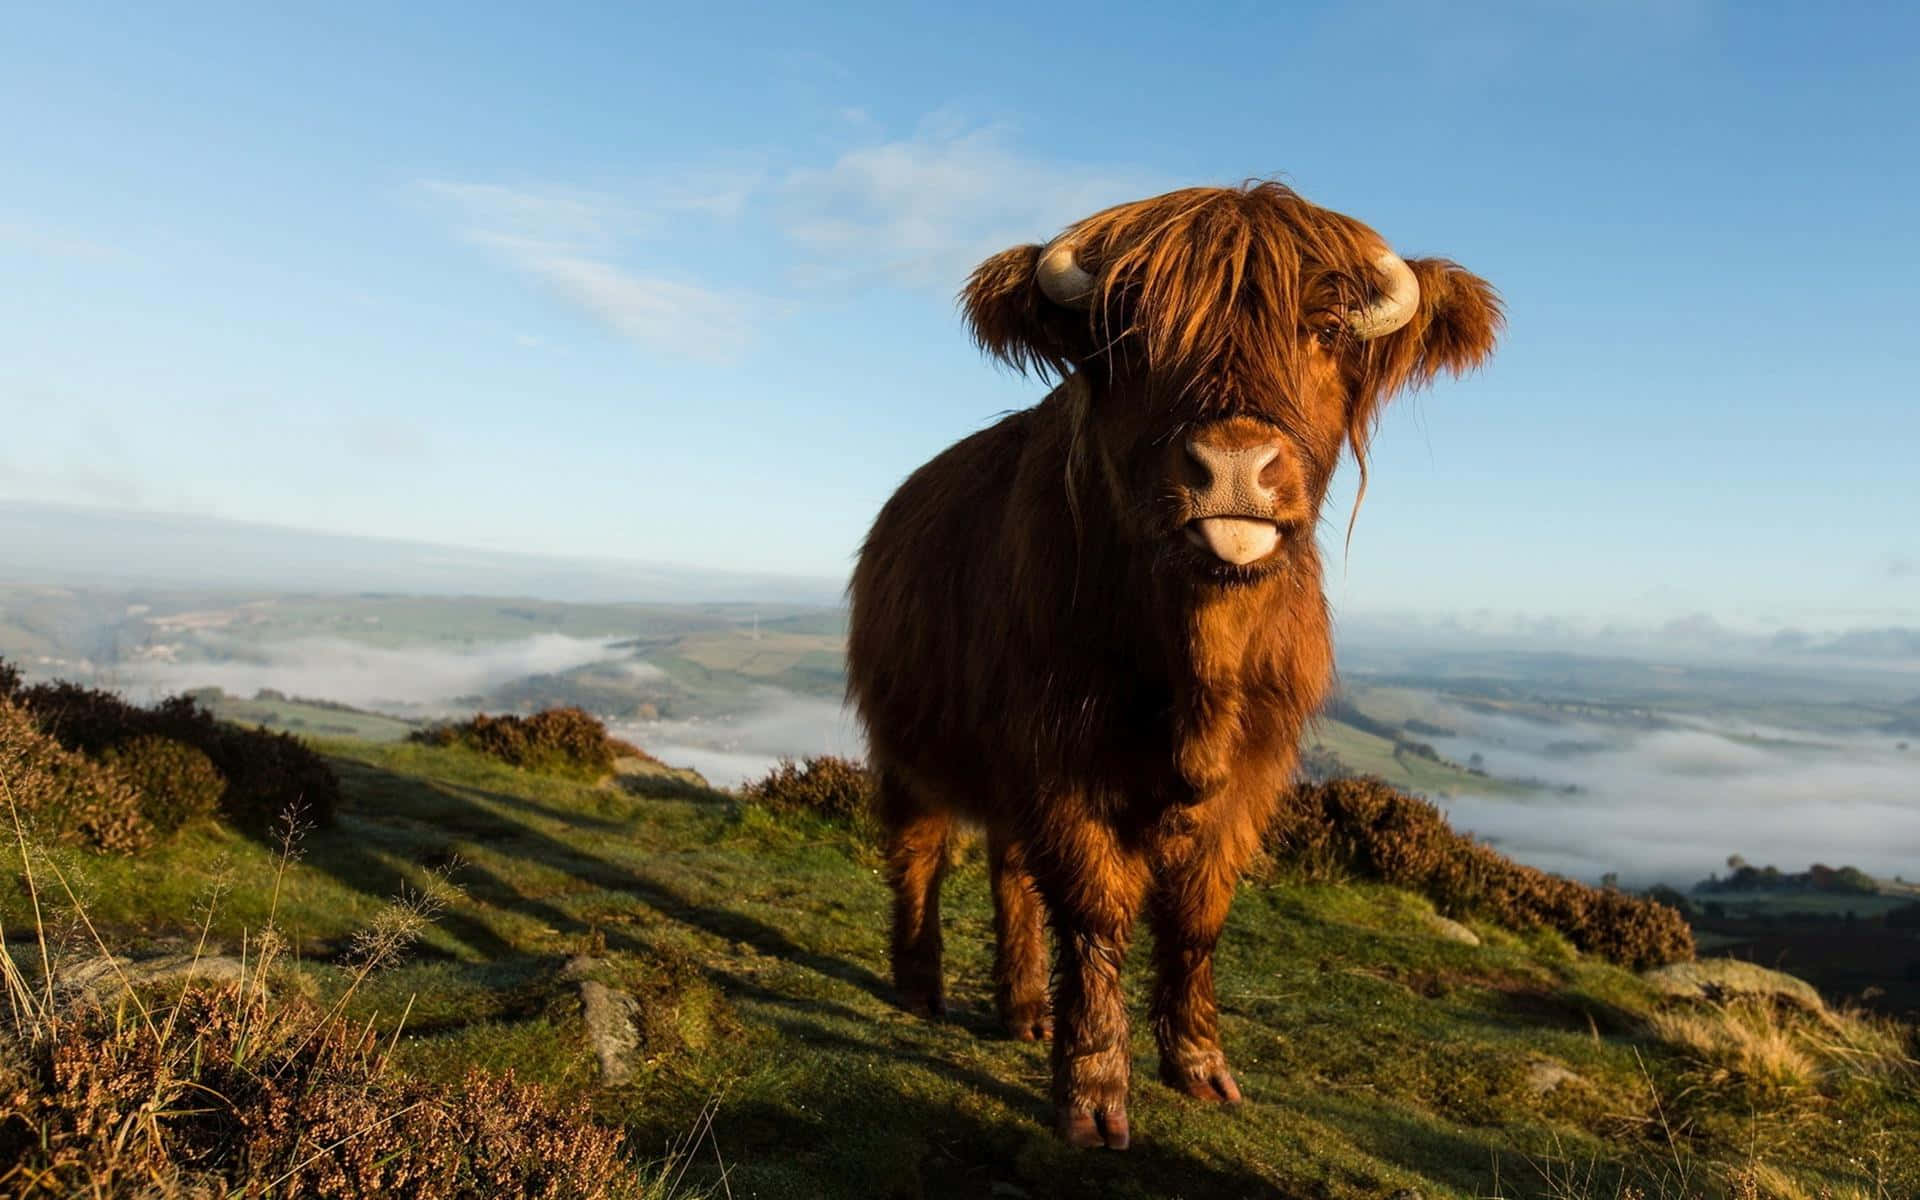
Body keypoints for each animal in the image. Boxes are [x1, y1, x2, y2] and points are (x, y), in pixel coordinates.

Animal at [852, 182, 1497, 1144]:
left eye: (1328, 330)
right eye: (1134, 340)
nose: (1232, 465)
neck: (1201, 660)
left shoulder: (1256, 765)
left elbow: (1197, 912)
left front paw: (1198, 1064)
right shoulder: (1058, 751)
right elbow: (1095, 908)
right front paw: (1091, 1093)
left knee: (1009, 867)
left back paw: (1023, 1007)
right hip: (909, 744)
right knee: (921, 850)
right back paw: (923, 986)